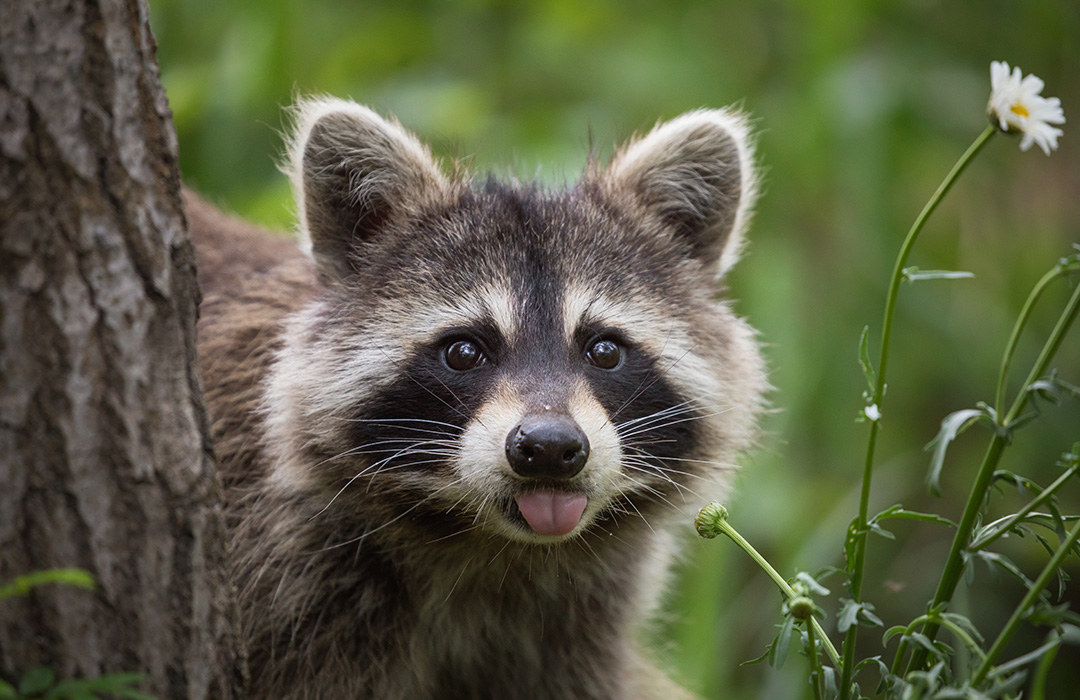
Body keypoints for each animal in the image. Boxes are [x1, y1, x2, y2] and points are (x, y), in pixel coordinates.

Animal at [190, 98, 766, 700]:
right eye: (465, 351)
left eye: (605, 350)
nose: (549, 448)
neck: (492, 548)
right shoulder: (294, 590)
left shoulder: (574, 631)